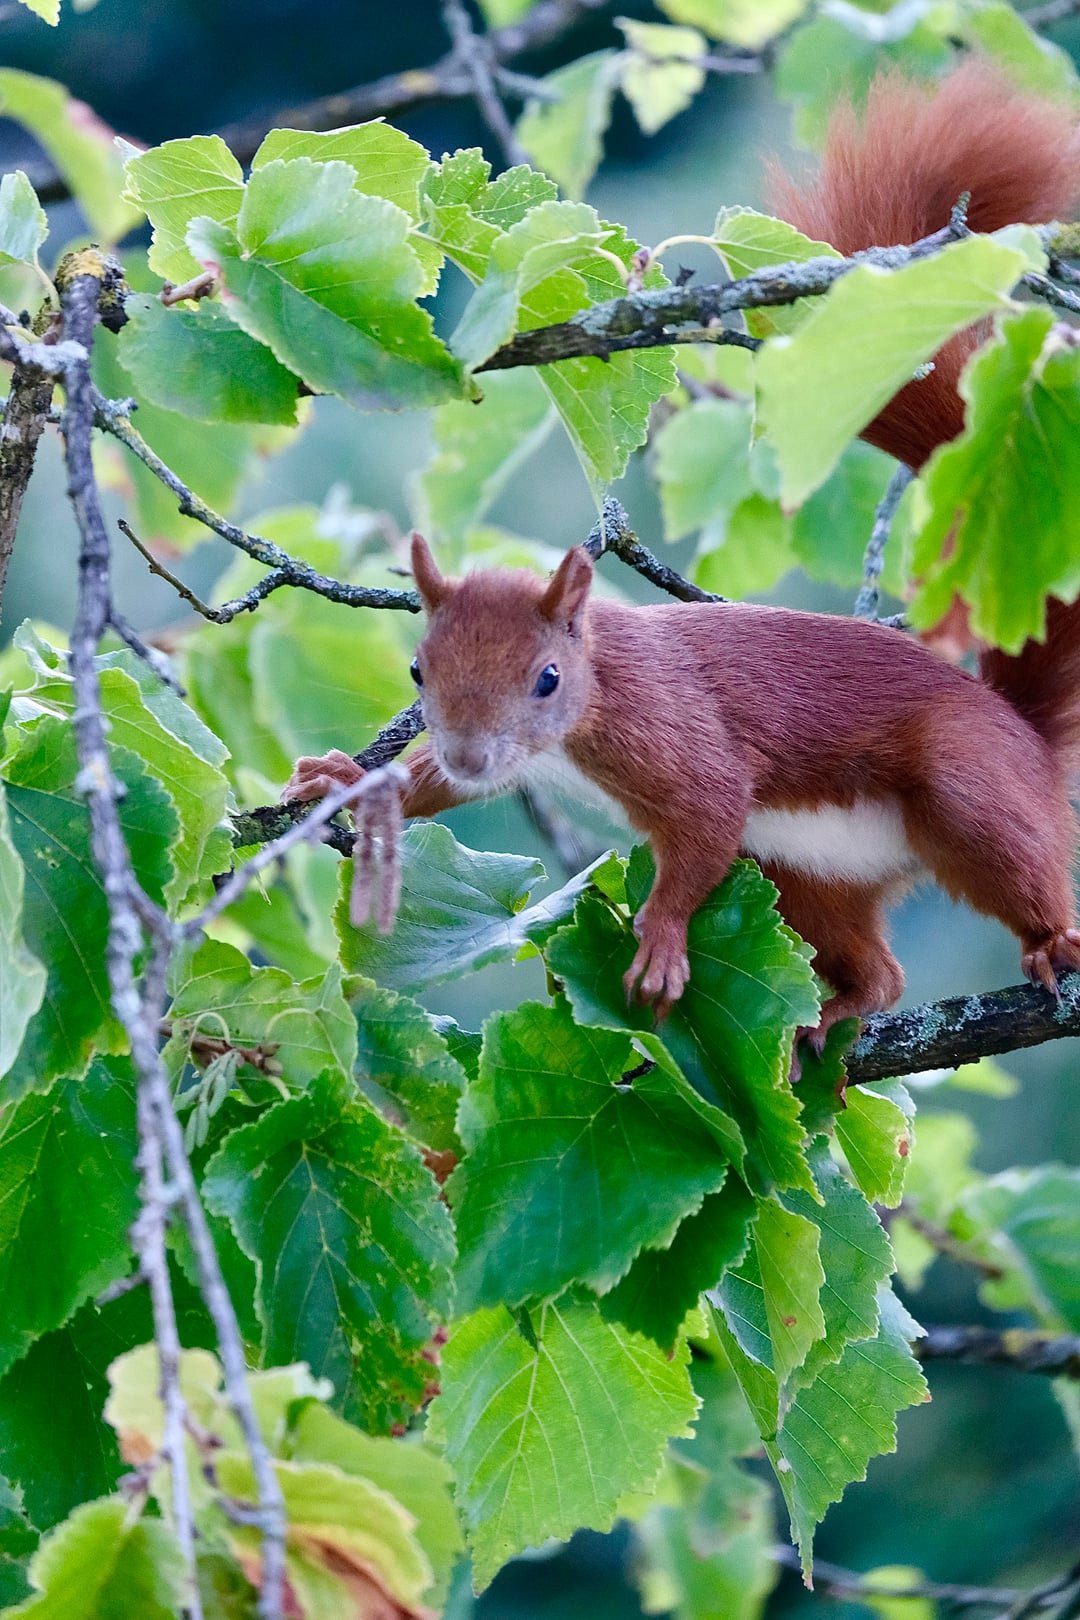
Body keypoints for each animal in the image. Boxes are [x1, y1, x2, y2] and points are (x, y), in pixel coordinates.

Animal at [285, 61, 1080, 1045]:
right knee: (880, 970)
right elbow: (435, 785)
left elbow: (703, 824)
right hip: (803, 875)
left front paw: (662, 942)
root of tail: (1027, 741)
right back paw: (827, 1019)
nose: (472, 752)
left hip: (970, 789)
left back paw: (1051, 944)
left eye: (548, 678)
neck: (589, 707)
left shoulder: (677, 737)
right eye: (417, 673)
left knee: (1022, 874)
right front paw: (348, 779)